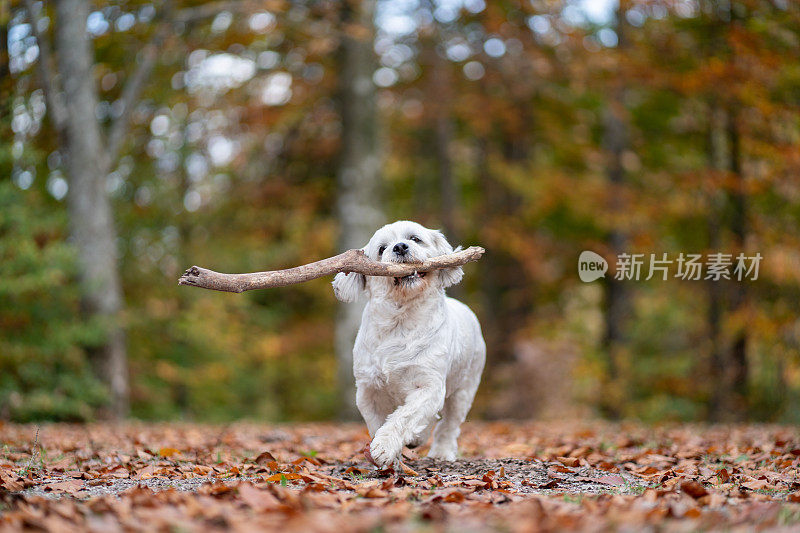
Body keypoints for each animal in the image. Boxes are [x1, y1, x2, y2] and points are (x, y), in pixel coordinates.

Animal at [332, 220, 484, 466]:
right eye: (382, 248)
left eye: (415, 238)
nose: (400, 247)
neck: (400, 321)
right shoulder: (368, 391)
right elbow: (377, 423)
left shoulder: (430, 386)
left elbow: (404, 417)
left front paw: (384, 447)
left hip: (464, 389)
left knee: (448, 425)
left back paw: (441, 452)